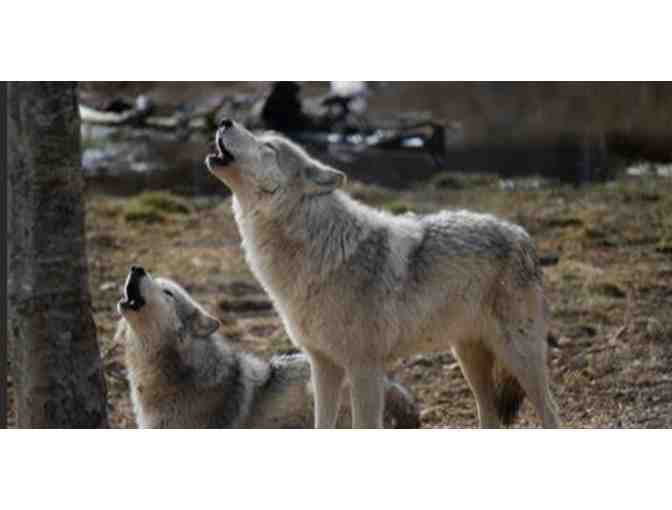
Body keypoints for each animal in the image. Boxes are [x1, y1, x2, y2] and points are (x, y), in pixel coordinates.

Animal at [205, 119, 561, 429]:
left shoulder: (365, 368)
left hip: (519, 356)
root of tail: (521, 235)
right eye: (262, 139)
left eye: (268, 147)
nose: (225, 121)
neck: (317, 249)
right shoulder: (323, 366)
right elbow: (322, 425)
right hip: (469, 358)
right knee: (490, 416)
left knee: (551, 412)